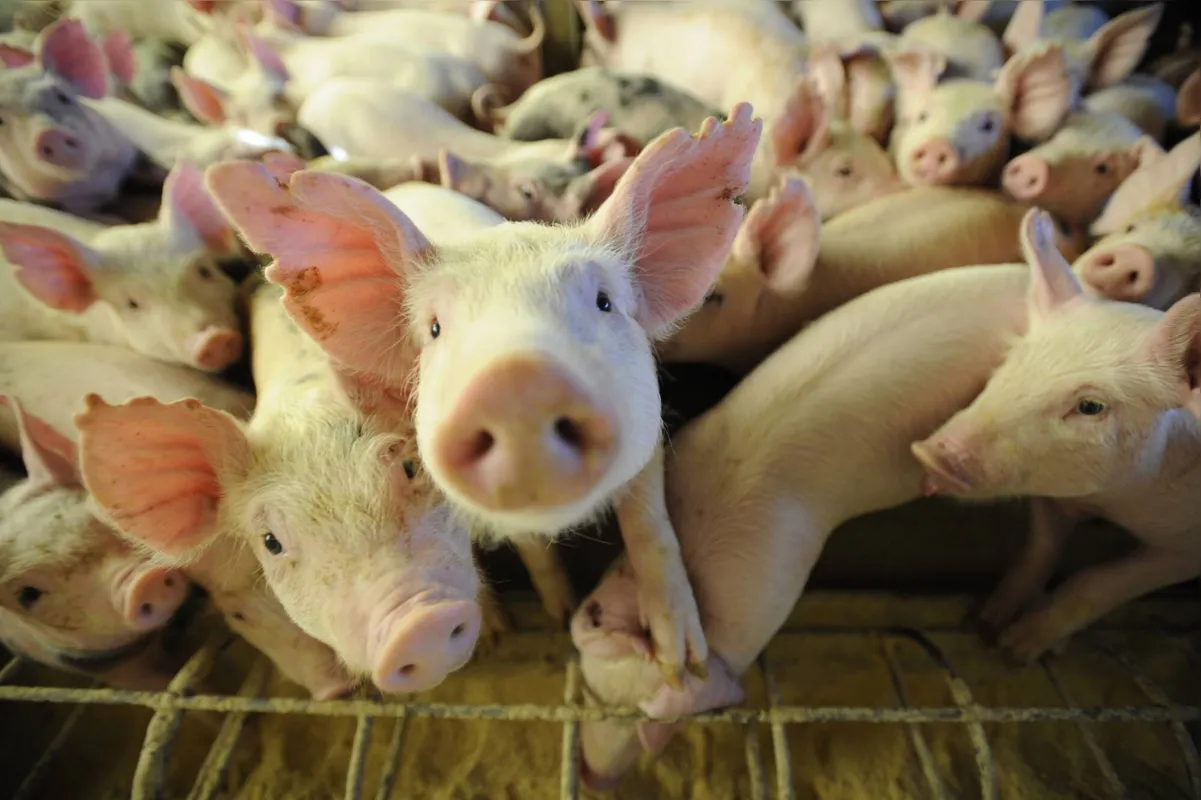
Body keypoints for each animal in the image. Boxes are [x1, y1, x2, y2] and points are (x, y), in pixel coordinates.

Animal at [203, 105, 766, 686]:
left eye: (604, 301)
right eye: (433, 329)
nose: (516, 381)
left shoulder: (648, 433)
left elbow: (650, 528)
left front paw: (682, 664)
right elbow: (532, 550)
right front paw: (550, 618)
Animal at [912, 211, 1201, 663]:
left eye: (1090, 406)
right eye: (1013, 358)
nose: (927, 454)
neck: (1108, 502)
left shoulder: (1187, 545)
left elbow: (1098, 581)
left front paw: (1016, 651)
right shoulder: (1050, 497)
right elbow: (1039, 547)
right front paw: (985, 623)